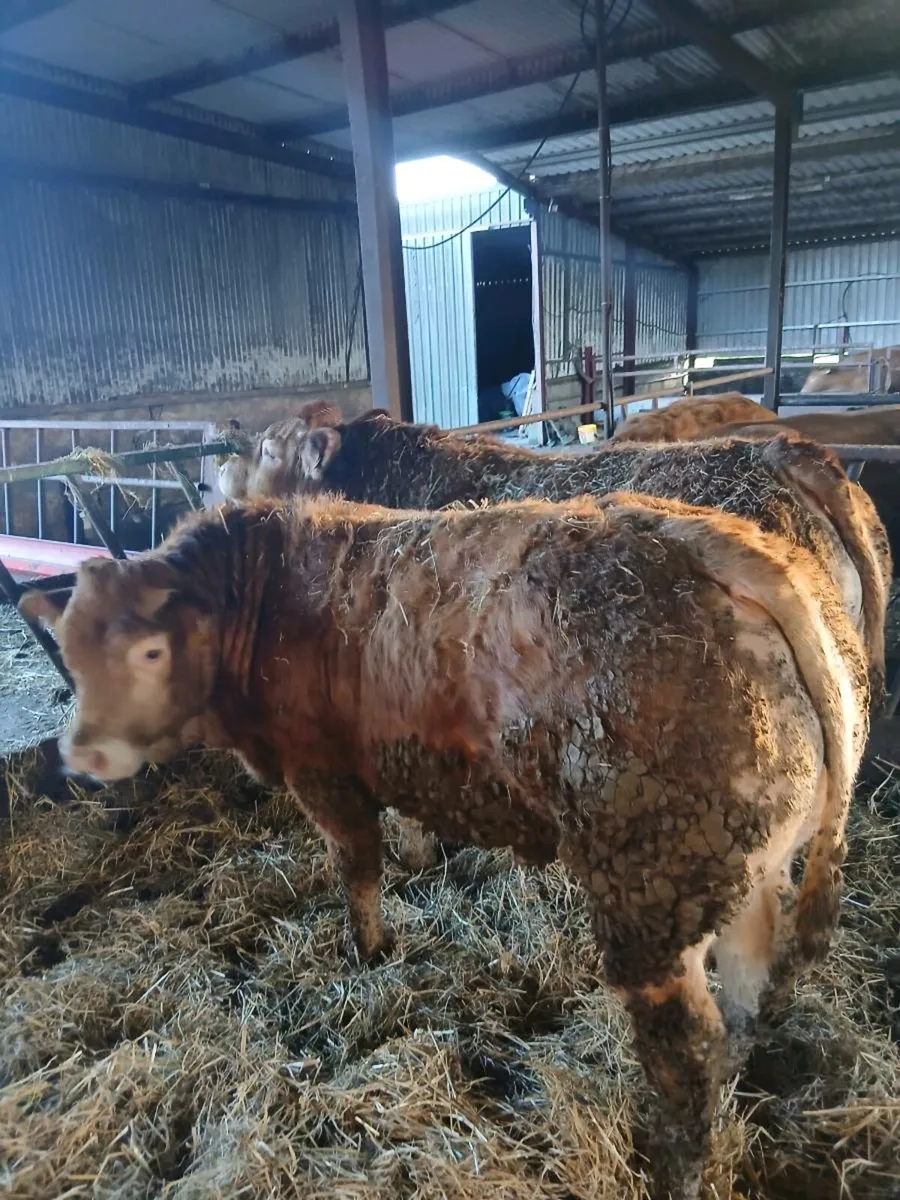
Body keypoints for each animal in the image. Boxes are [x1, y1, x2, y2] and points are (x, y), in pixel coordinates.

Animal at [20, 491, 868, 1200]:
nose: (81, 756)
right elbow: (407, 834)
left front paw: (369, 951)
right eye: (69, 651)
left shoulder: (322, 771)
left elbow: (358, 865)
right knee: (749, 991)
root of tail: (713, 543)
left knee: (685, 1051)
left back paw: (674, 1169)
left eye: (149, 652)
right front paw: (420, 864)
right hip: (750, 867)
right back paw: (742, 1088)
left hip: (650, 885)